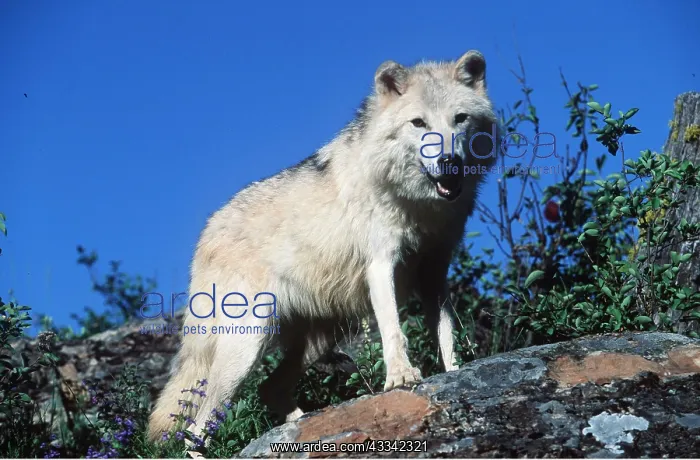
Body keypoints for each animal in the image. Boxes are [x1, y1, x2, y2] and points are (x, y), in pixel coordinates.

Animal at [148, 49, 498, 442]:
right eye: (419, 123)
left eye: (460, 119)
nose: (448, 162)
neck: (418, 204)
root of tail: (206, 233)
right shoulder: (381, 265)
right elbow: (394, 330)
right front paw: (401, 378)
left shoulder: (435, 273)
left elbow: (447, 333)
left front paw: (455, 372)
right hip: (248, 344)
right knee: (196, 426)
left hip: (321, 338)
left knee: (267, 388)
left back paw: (302, 422)